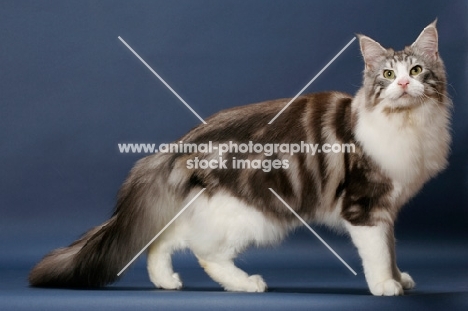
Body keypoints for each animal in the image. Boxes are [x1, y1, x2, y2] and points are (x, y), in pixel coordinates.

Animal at [28, 20, 450, 296]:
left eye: (416, 70)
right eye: (386, 74)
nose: (403, 83)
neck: (408, 124)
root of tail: (180, 143)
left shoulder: (388, 207)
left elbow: (391, 248)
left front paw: (399, 277)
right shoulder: (365, 205)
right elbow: (377, 252)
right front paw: (385, 285)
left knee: (164, 240)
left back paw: (166, 281)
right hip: (252, 216)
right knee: (203, 252)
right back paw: (246, 284)